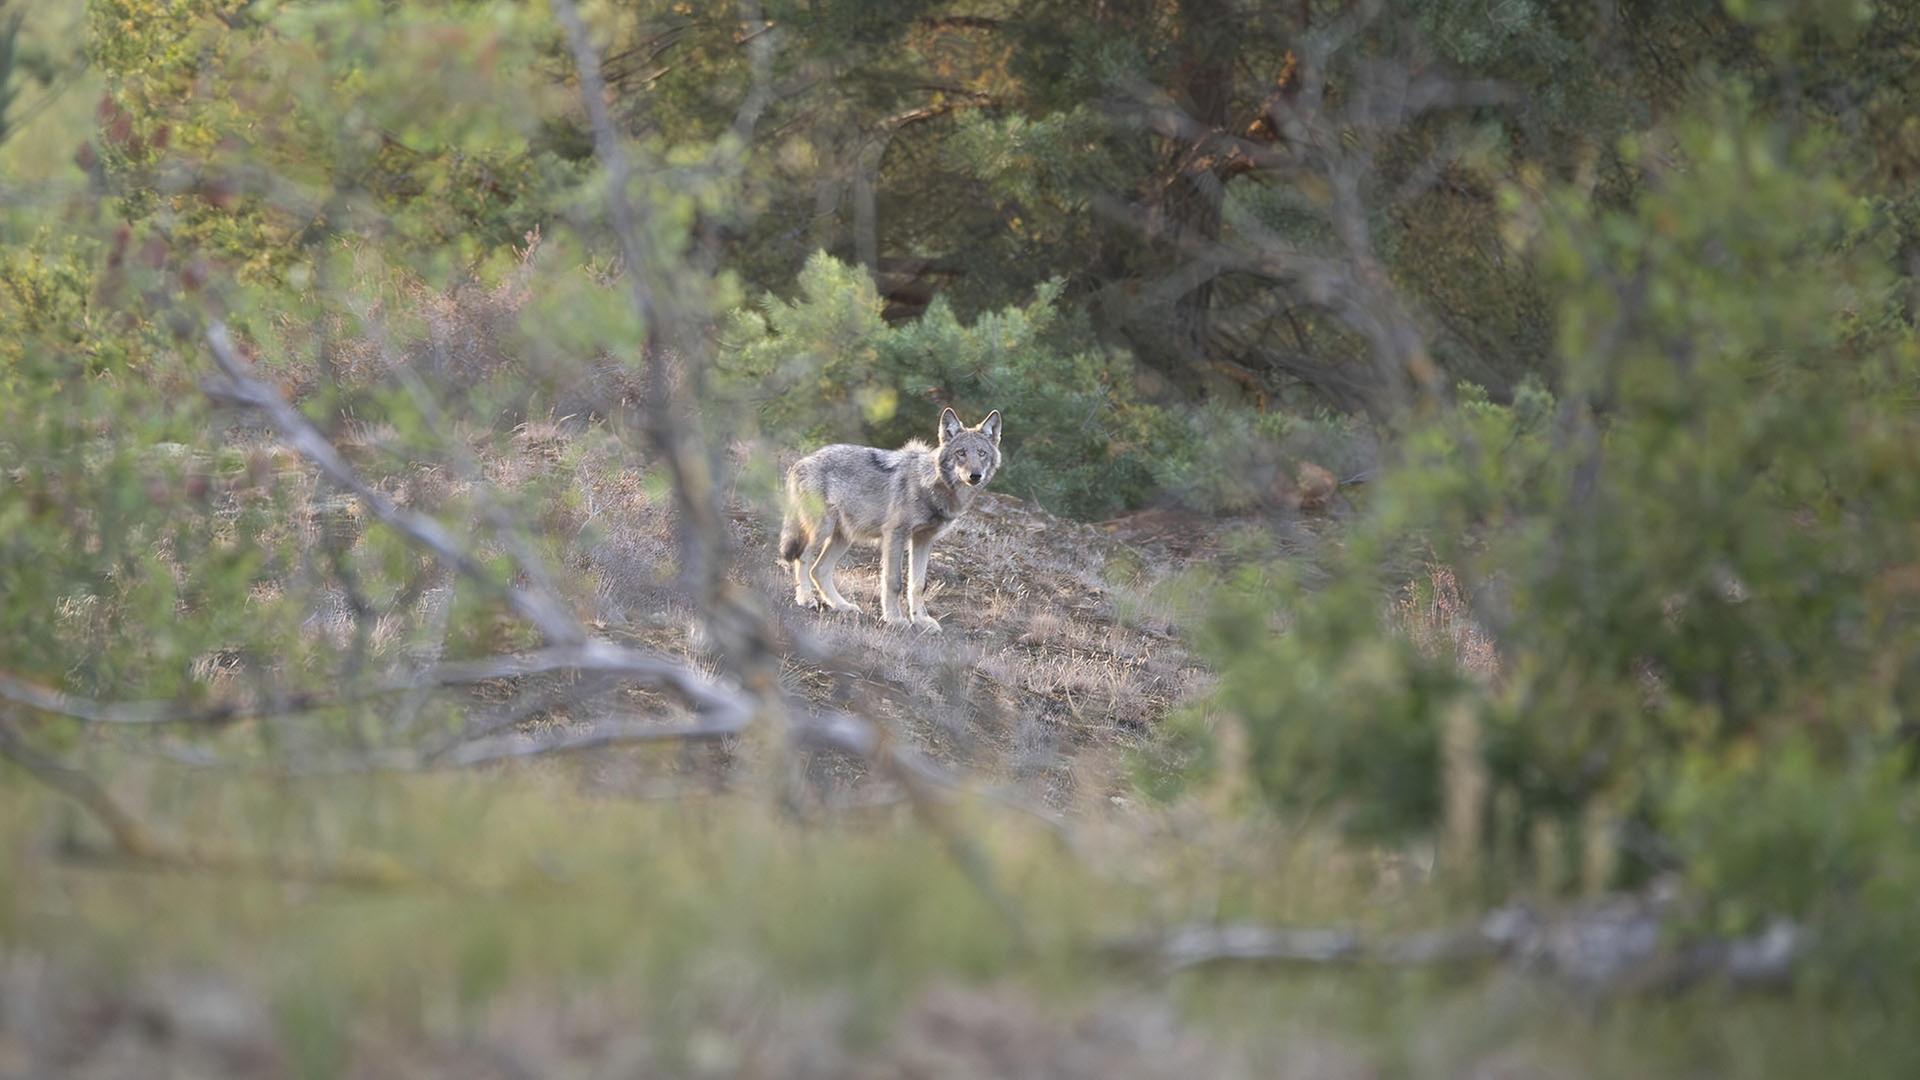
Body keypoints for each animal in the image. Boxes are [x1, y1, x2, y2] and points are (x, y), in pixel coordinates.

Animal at [778, 408, 1002, 631]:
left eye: (981, 453)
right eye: (961, 453)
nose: (975, 475)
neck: (931, 486)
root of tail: (801, 462)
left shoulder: (924, 540)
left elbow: (918, 585)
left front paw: (921, 621)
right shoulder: (896, 534)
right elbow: (894, 581)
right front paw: (895, 619)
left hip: (845, 537)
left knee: (819, 570)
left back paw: (842, 606)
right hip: (822, 529)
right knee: (802, 558)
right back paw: (806, 599)